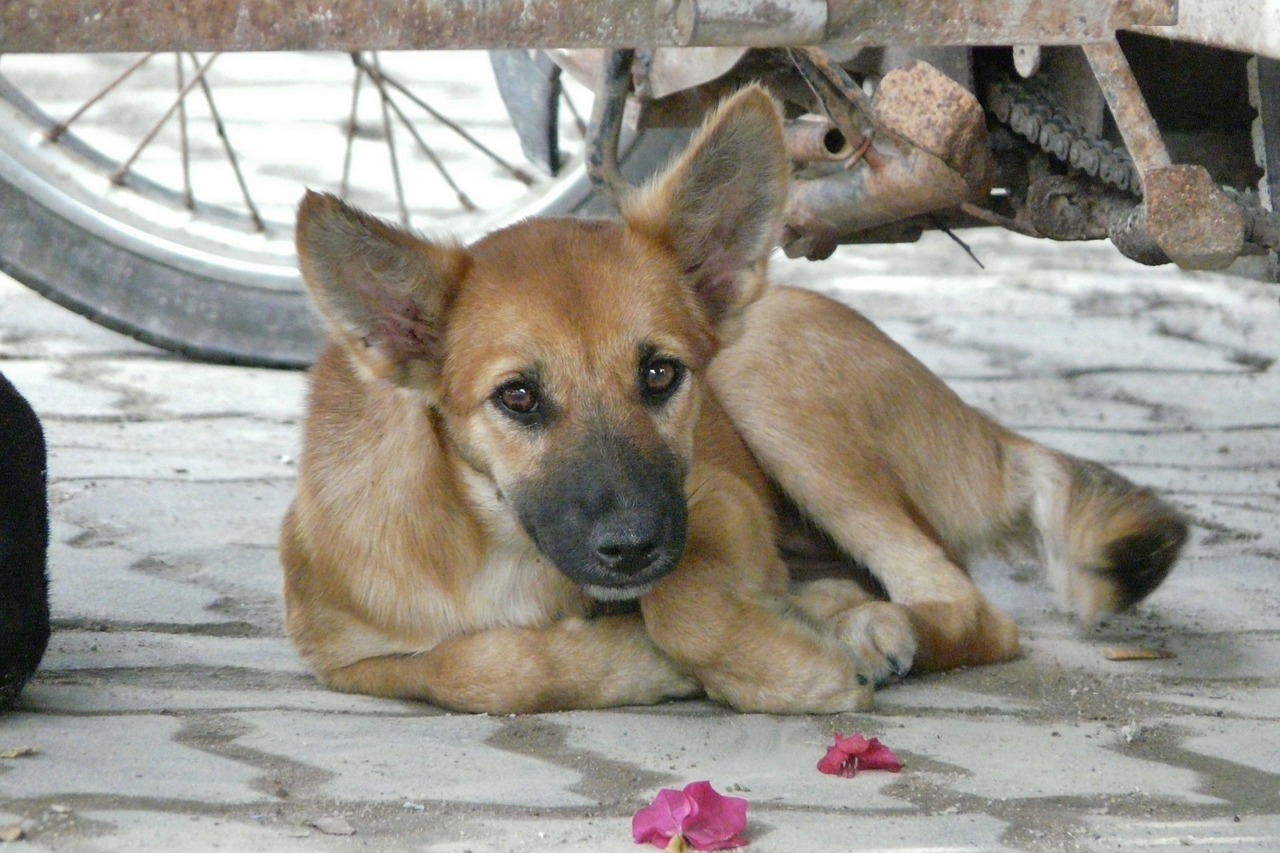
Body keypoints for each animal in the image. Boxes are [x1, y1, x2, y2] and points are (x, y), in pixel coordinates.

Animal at [282, 84, 1187, 712]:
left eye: (660, 374)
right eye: (518, 397)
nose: (632, 546)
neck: (493, 542)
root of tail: (980, 429)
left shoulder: (711, 500)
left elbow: (680, 605)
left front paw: (782, 666)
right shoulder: (336, 646)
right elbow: (473, 667)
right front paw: (629, 660)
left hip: (772, 387)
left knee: (966, 606)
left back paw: (863, 626)